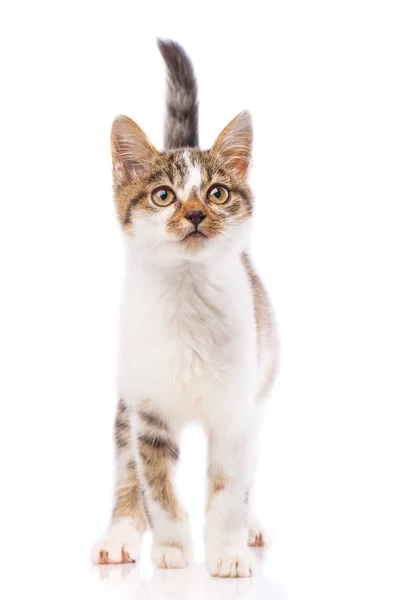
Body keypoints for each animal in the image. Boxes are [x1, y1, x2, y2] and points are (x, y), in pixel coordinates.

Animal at [92, 37, 276, 576]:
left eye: (217, 193)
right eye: (163, 196)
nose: (194, 214)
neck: (188, 298)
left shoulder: (236, 413)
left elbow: (229, 490)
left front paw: (229, 552)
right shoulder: (148, 414)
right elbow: (157, 488)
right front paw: (172, 550)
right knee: (125, 471)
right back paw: (121, 534)